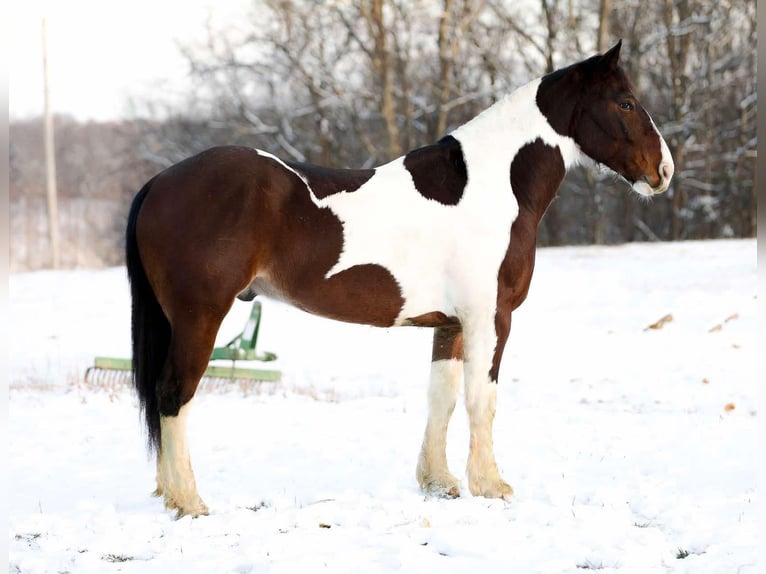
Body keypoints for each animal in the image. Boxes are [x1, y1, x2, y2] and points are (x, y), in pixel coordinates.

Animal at [126, 40, 673, 518]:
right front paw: (491, 485)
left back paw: (169, 493)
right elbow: (482, 398)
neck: (491, 187)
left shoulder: (450, 323)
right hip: (200, 317)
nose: (663, 171)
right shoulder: (489, 318)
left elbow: (442, 397)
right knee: (174, 393)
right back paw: (189, 502)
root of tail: (160, 182)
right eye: (625, 102)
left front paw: (440, 483)